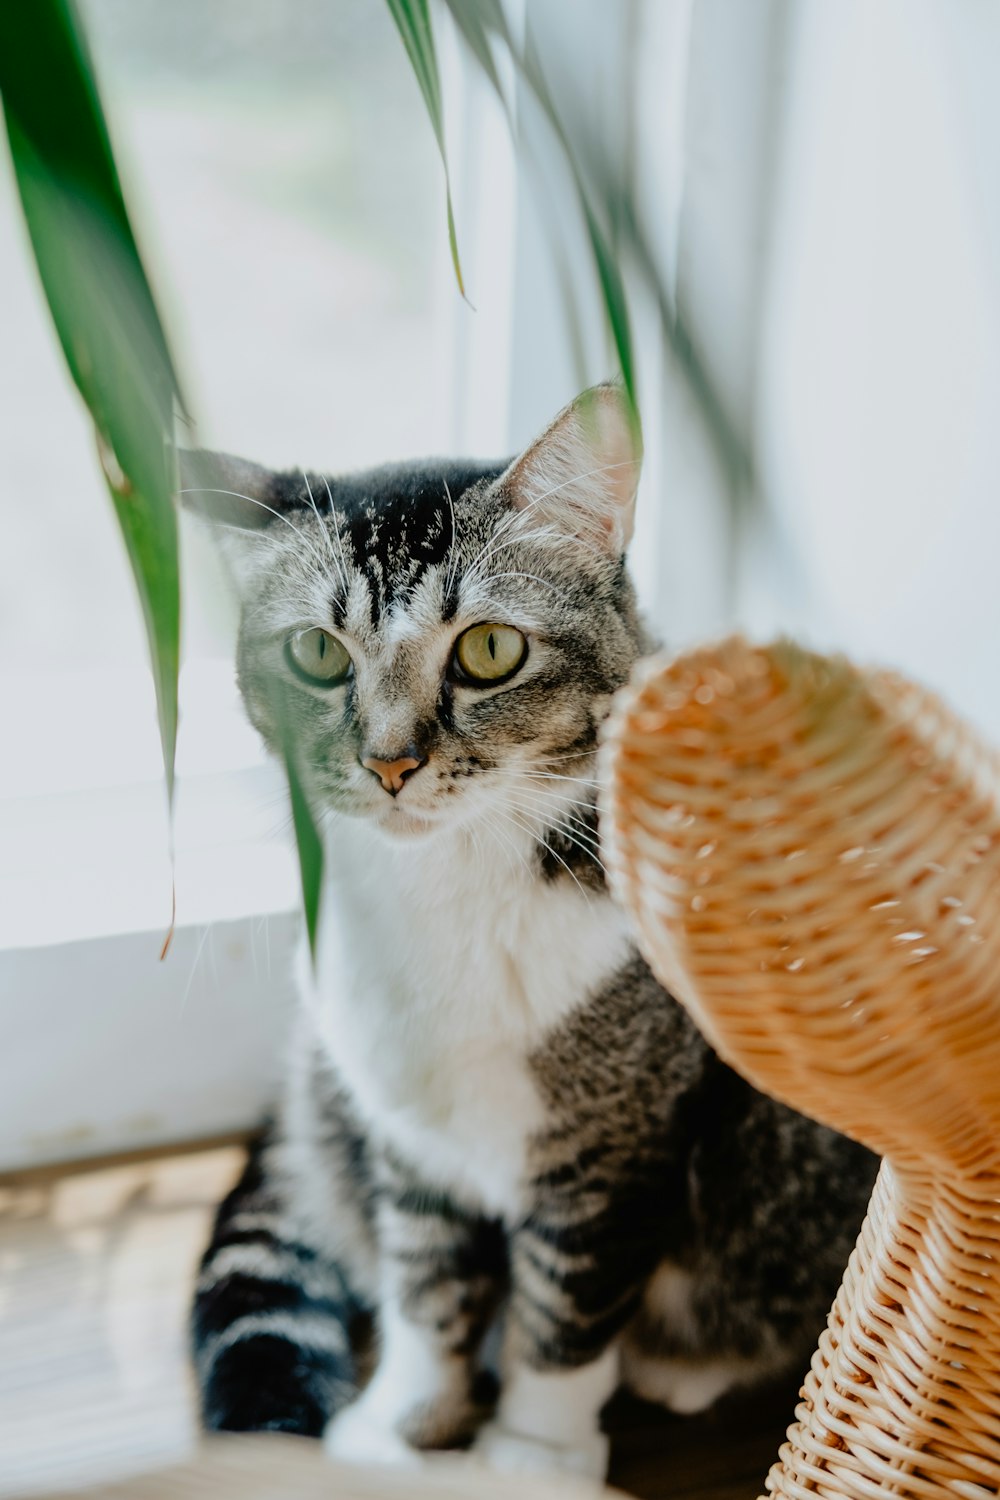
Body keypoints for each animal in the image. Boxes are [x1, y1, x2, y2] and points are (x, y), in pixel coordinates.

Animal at [182, 384, 875, 1476]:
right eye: (317, 654)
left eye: (489, 650)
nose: (389, 762)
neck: (446, 894)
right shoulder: (406, 1138)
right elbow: (426, 1288)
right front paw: (403, 1425)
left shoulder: (614, 1156)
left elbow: (565, 1313)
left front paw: (533, 1456)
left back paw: (684, 1369)